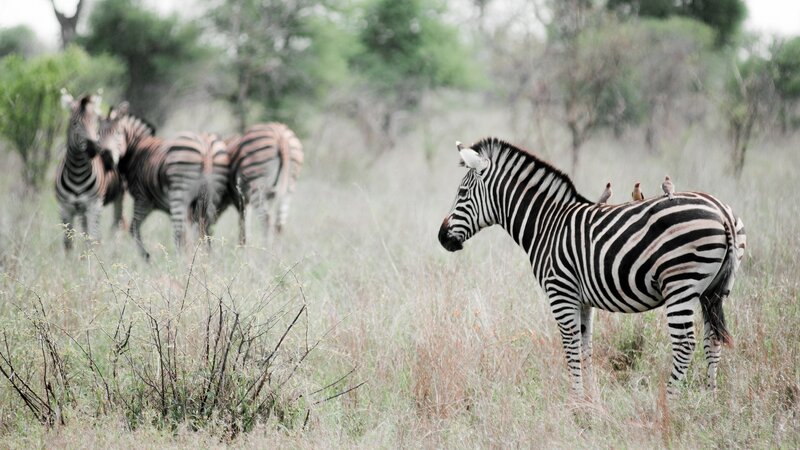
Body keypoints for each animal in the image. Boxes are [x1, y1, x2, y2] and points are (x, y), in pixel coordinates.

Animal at [55, 92, 125, 250]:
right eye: (74, 123)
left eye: (94, 123)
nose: (93, 149)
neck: (76, 172)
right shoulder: (65, 208)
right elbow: (68, 243)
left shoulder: (94, 206)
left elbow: (94, 239)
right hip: (82, 210)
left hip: (119, 195)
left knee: (119, 224)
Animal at [96, 103, 230, 259]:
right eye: (98, 133)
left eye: (117, 133)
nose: (106, 157)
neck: (135, 149)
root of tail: (205, 144)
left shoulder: (143, 199)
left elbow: (133, 227)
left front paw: (146, 257)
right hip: (212, 196)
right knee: (206, 229)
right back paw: (206, 259)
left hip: (179, 192)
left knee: (179, 233)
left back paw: (180, 260)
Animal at [438, 138, 746, 396]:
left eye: (462, 192)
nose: (441, 238)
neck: (547, 224)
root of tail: (721, 212)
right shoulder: (582, 299)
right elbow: (586, 347)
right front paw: (590, 400)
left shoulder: (561, 291)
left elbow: (571, 347)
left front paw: (576, 403)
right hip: (714, 290)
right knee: (712, 340)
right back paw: (710, 399)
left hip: (680, 283)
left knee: (685, 344)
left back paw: (669, 403)